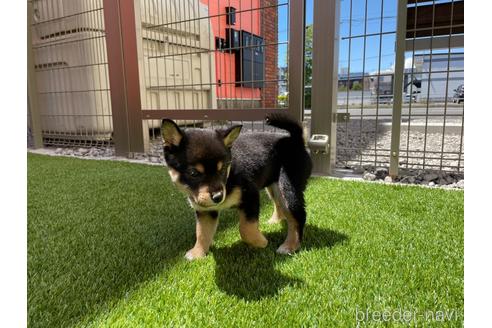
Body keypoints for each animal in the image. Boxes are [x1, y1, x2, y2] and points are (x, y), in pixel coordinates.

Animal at [163, 114, 314, 260]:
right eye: (193, 173)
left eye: (223, 169)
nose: (218, 197)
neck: (229, 179)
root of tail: (296, 140)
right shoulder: (205, 210)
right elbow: (201, 232)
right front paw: (197, 252)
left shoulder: (250, 196)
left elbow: (245, 229)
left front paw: (260, 242)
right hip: (274, 186)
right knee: (279, 205)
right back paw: (274, 221)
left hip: (288, 187)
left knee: (298, 215)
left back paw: (290, 246)